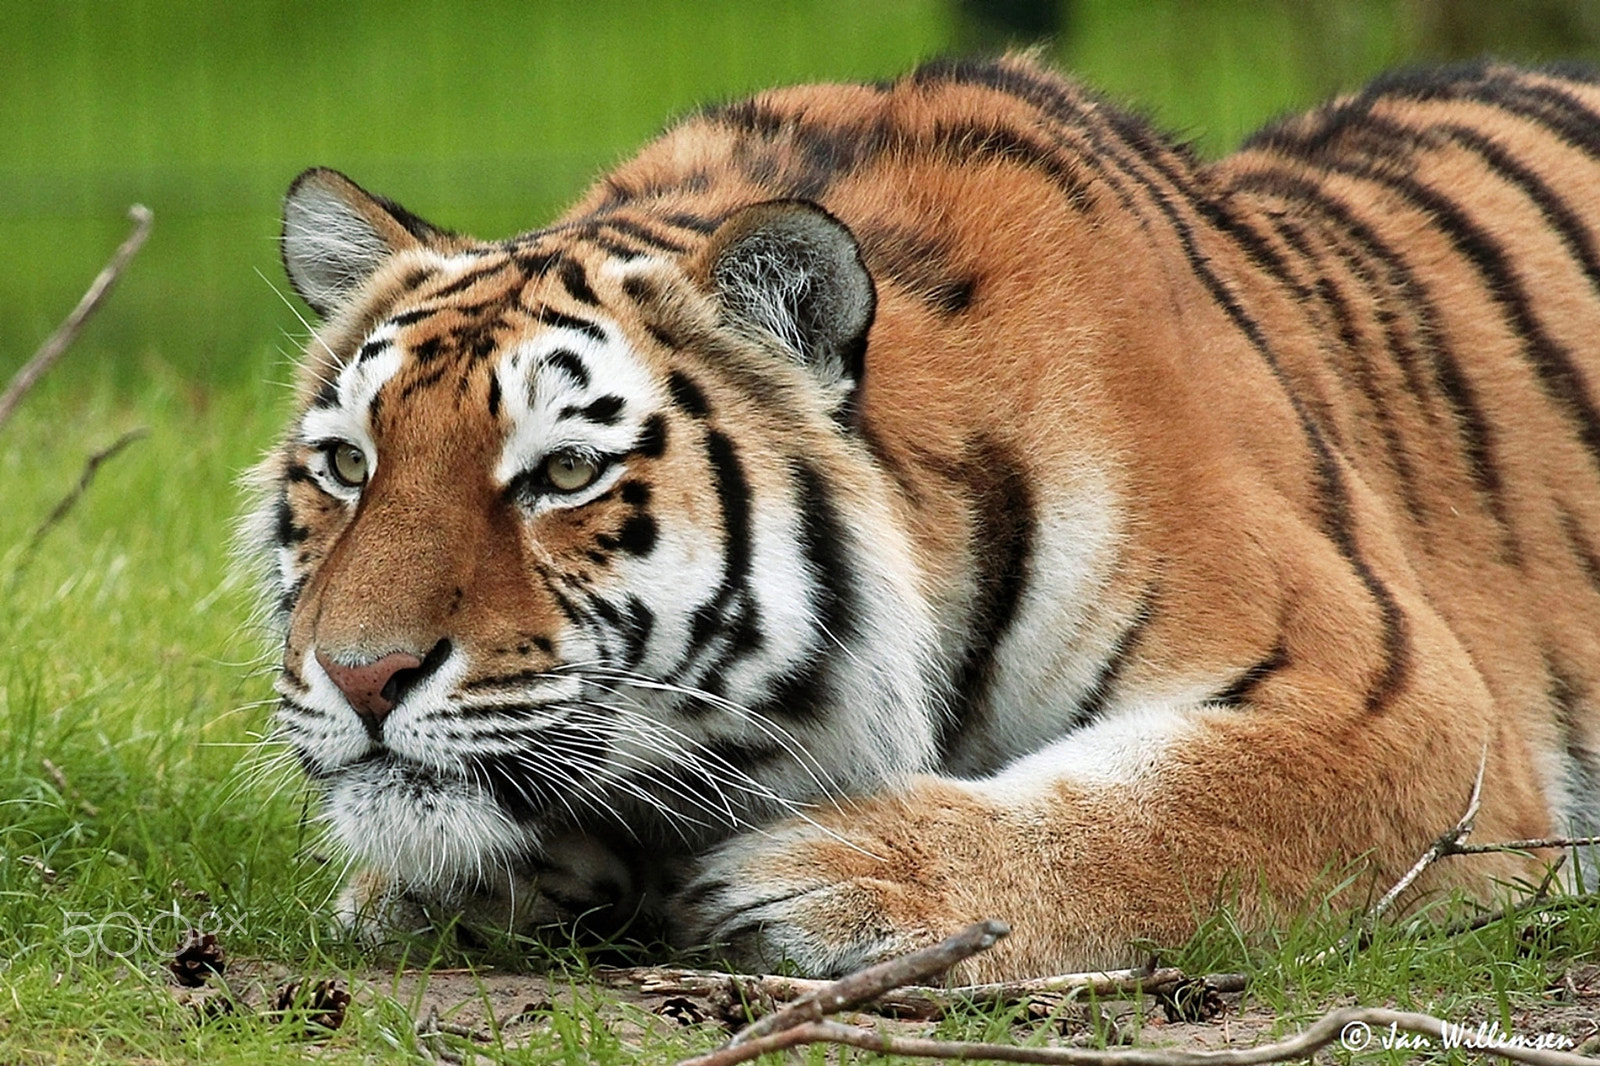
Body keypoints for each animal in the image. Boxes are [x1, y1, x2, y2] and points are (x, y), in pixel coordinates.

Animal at [245, 54, 1600, 981]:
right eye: (347, 463)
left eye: (565, 472)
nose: (360, 677)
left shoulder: (1398, 704)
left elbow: (1166, 812)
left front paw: (827, 877)